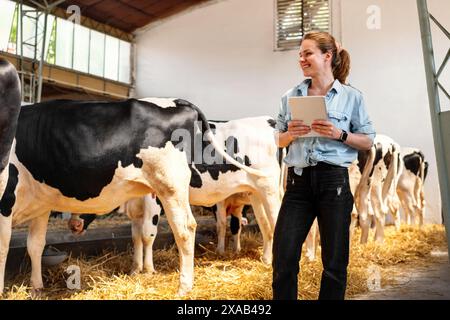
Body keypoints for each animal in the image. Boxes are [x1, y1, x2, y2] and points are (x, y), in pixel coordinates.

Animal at [0, 97, 266, 296]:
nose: (74, 224)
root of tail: (176, 101)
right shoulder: (41, 204)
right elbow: (35, 246)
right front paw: (36, 287)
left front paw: (147, 269)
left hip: (171, 186)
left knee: (186, 229)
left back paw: (184, 287)